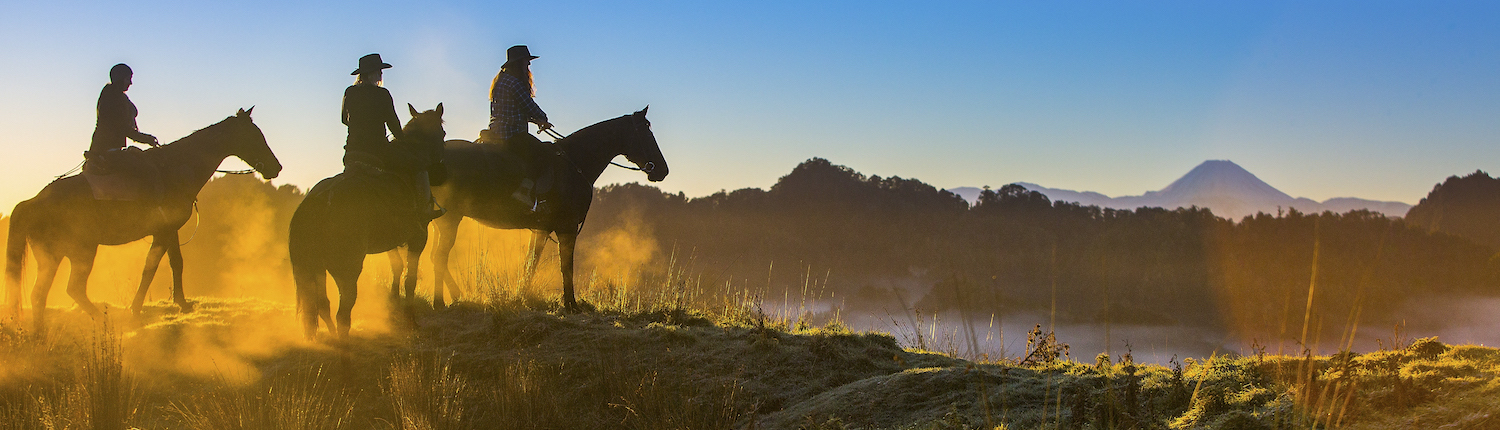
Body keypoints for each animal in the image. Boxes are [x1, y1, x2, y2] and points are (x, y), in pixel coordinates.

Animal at [4, 108, 282, 337]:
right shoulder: (162, 232)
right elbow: (151, 268)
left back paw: (40, 333)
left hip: (54, 256)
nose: (276, 168)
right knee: (71, 289)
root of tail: (34, 201)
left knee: (40, 294)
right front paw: (136, 310)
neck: (175, 168)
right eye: (255, 136)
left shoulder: (170, 230)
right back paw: (100, 320)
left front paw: (182, 303)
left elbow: (176, 263)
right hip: (79, 252)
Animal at [289, 104, 444, 340]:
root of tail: (318, 201)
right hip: (345, 268)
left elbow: (396, 268)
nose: (442, 172)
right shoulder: (419, 237)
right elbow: (410, 279)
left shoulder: (392, 242)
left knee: (323, 305)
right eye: (442, 133)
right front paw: (410, 321)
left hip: (315, 268)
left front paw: (393, 306)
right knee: (342, 312)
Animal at [432, 106, 672, 311]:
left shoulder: (542, 229)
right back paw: (440, 302)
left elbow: (531, 263)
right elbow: (566, 266)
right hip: (450, 218)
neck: (576, 163)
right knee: (439, 256)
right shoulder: (567, 227)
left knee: (435, 255)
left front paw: (520, 297)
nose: (662, 170)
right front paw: (571, 305)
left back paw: (455, 294)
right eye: (646, 133)